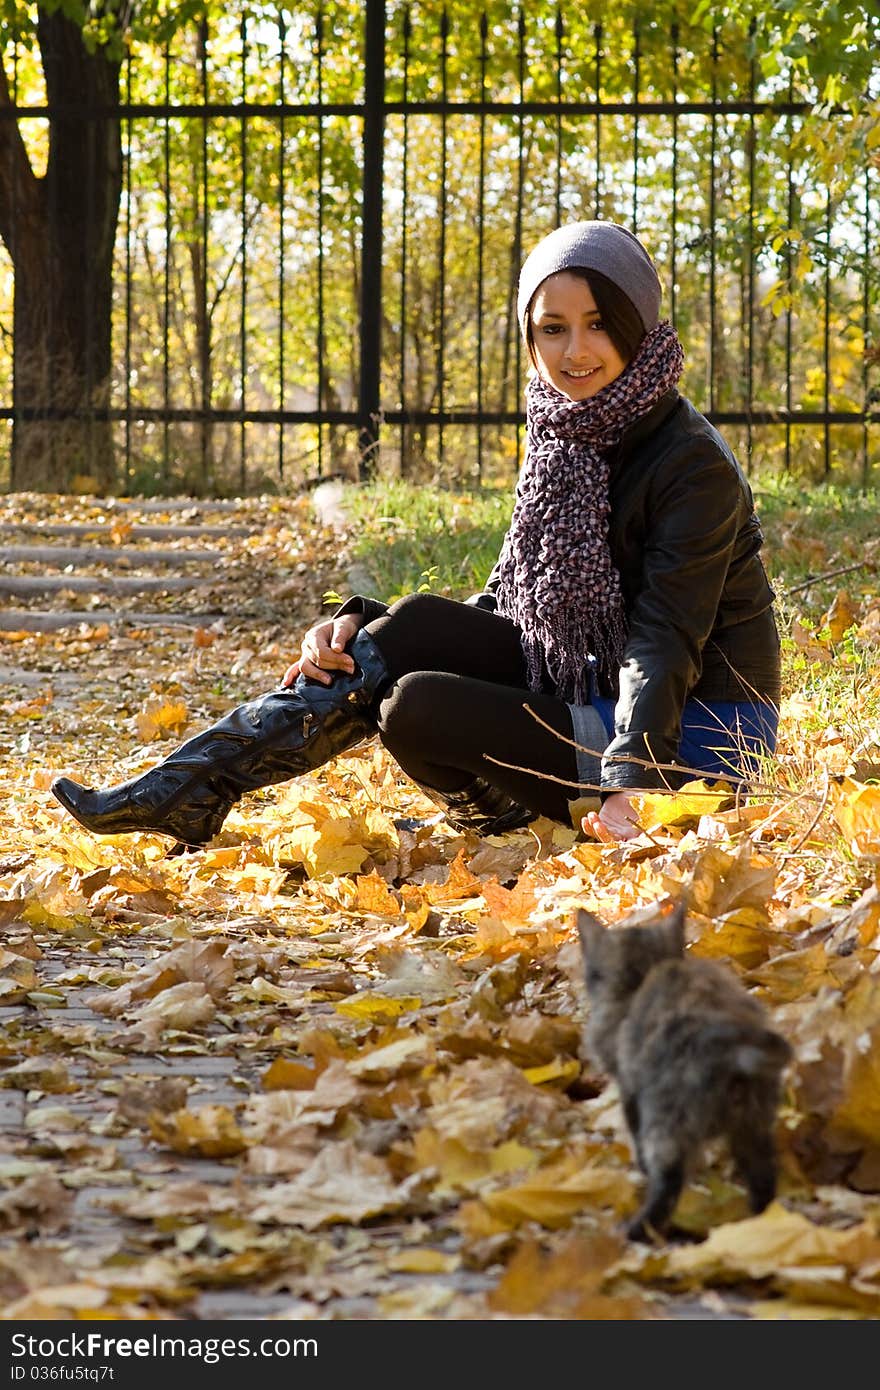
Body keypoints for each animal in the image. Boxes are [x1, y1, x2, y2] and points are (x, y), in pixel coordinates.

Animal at [575, 906, 789, 1245]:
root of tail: (732, 1046)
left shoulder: (628, 1087)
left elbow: (634, 1134)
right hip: (754, 1124)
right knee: (763, 1179)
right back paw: (759, 1224)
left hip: (666, 1121)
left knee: (667, 1184)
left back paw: (635, 1231)